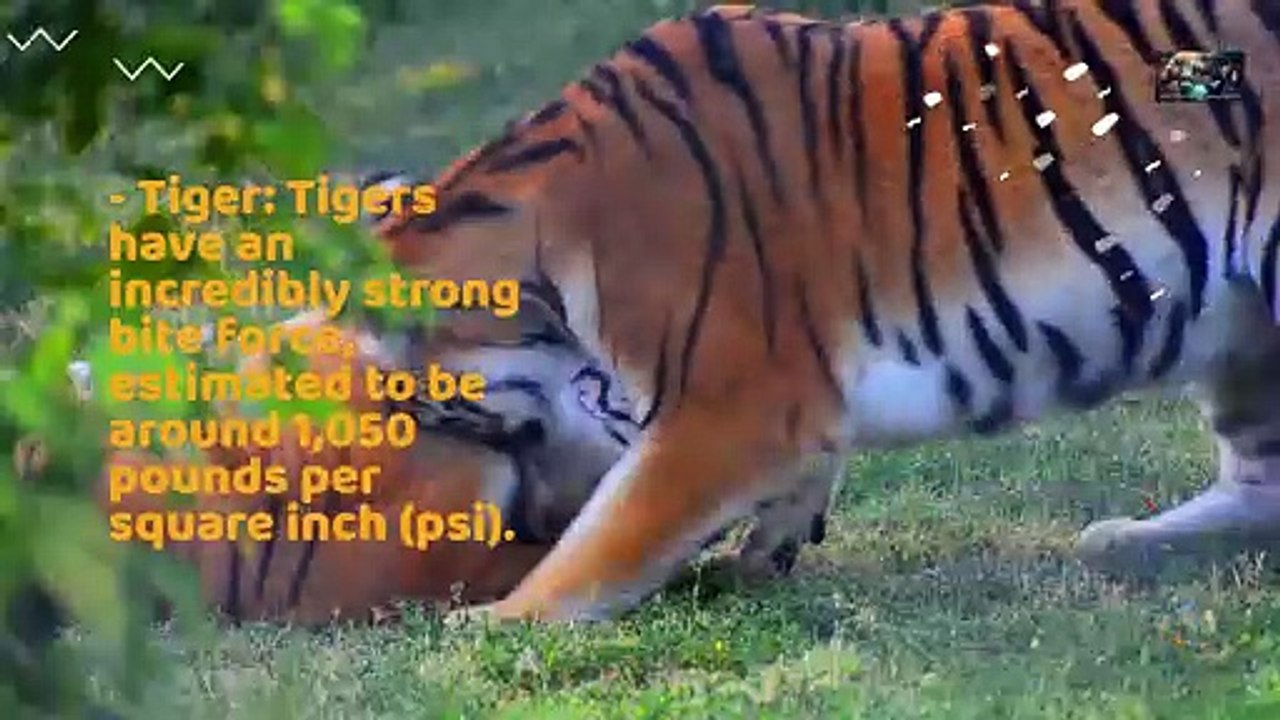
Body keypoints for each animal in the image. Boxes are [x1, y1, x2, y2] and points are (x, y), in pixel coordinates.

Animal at [366, 0, 1280, 623]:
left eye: (450, 414)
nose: (533, 519)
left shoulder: (724, 410)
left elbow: (609, 538)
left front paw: (487, 621)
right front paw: (765, 550)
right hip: (1242, 340)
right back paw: (1125, 541)